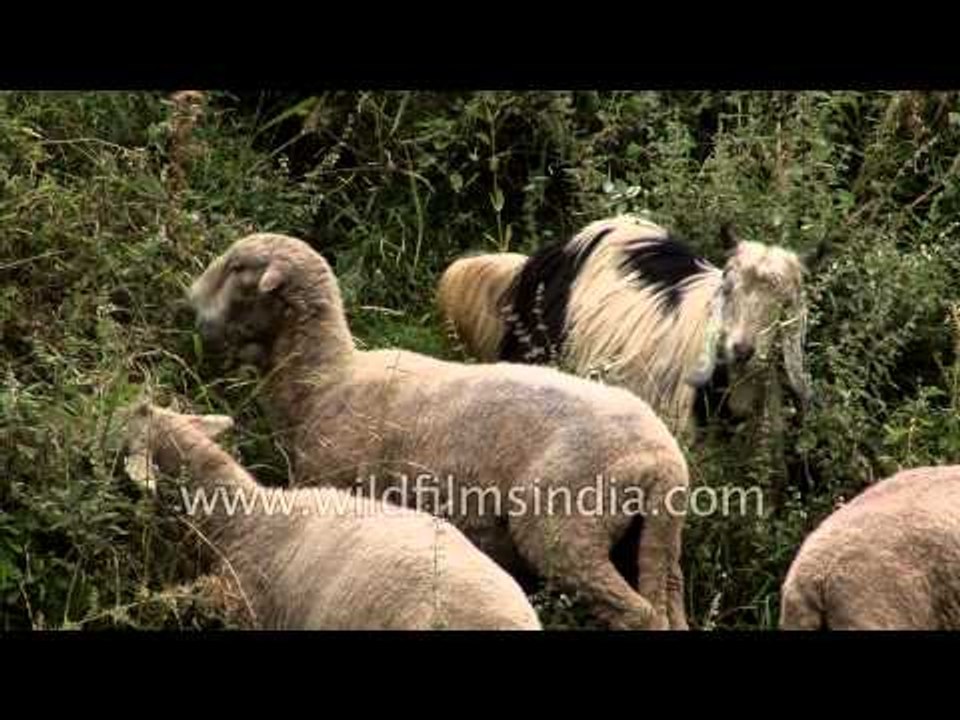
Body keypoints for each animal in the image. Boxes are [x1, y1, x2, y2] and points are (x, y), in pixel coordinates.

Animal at [187, 232, 692, 631]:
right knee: (666, 600)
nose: (191, 309)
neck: (326, 380)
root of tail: (663, 460)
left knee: (636, 612)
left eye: (238, 269)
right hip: (654, 541)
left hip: (567, 527)